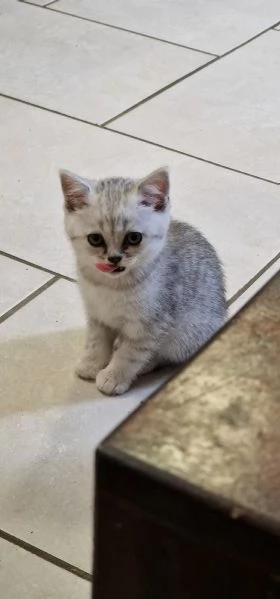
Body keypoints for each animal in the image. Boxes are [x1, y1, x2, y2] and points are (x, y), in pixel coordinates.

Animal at [60, 166, 226, 396]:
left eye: (134, 238)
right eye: (95, 239)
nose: (114, 258)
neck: (110, 287)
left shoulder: (150, 324)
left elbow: (130, 354)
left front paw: (113, 376)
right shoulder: (97, 314)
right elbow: (96, 341)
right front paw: (92, 363)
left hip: (186, 335)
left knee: (163, 354)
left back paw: (147, 363)